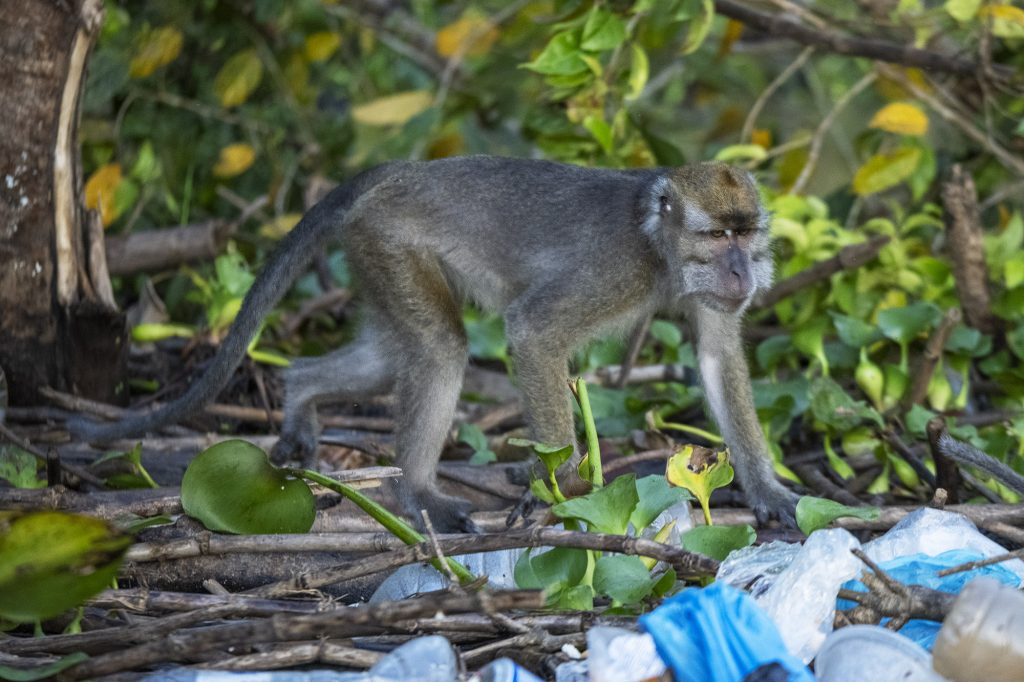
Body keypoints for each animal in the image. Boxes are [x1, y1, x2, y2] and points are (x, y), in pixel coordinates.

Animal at [71, 155, 798, 532]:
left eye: (746, 233)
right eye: (717, 237)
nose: (742, 271)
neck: (658, 245)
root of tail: (389, 176)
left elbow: (716, 359)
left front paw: (766, 489)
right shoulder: (619, 270)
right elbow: (533, 331)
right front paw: (561, 486)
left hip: (374, 256)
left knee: (390, 355)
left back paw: (299, 390)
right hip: (389, 242)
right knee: (441, 351)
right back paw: (418, 492)